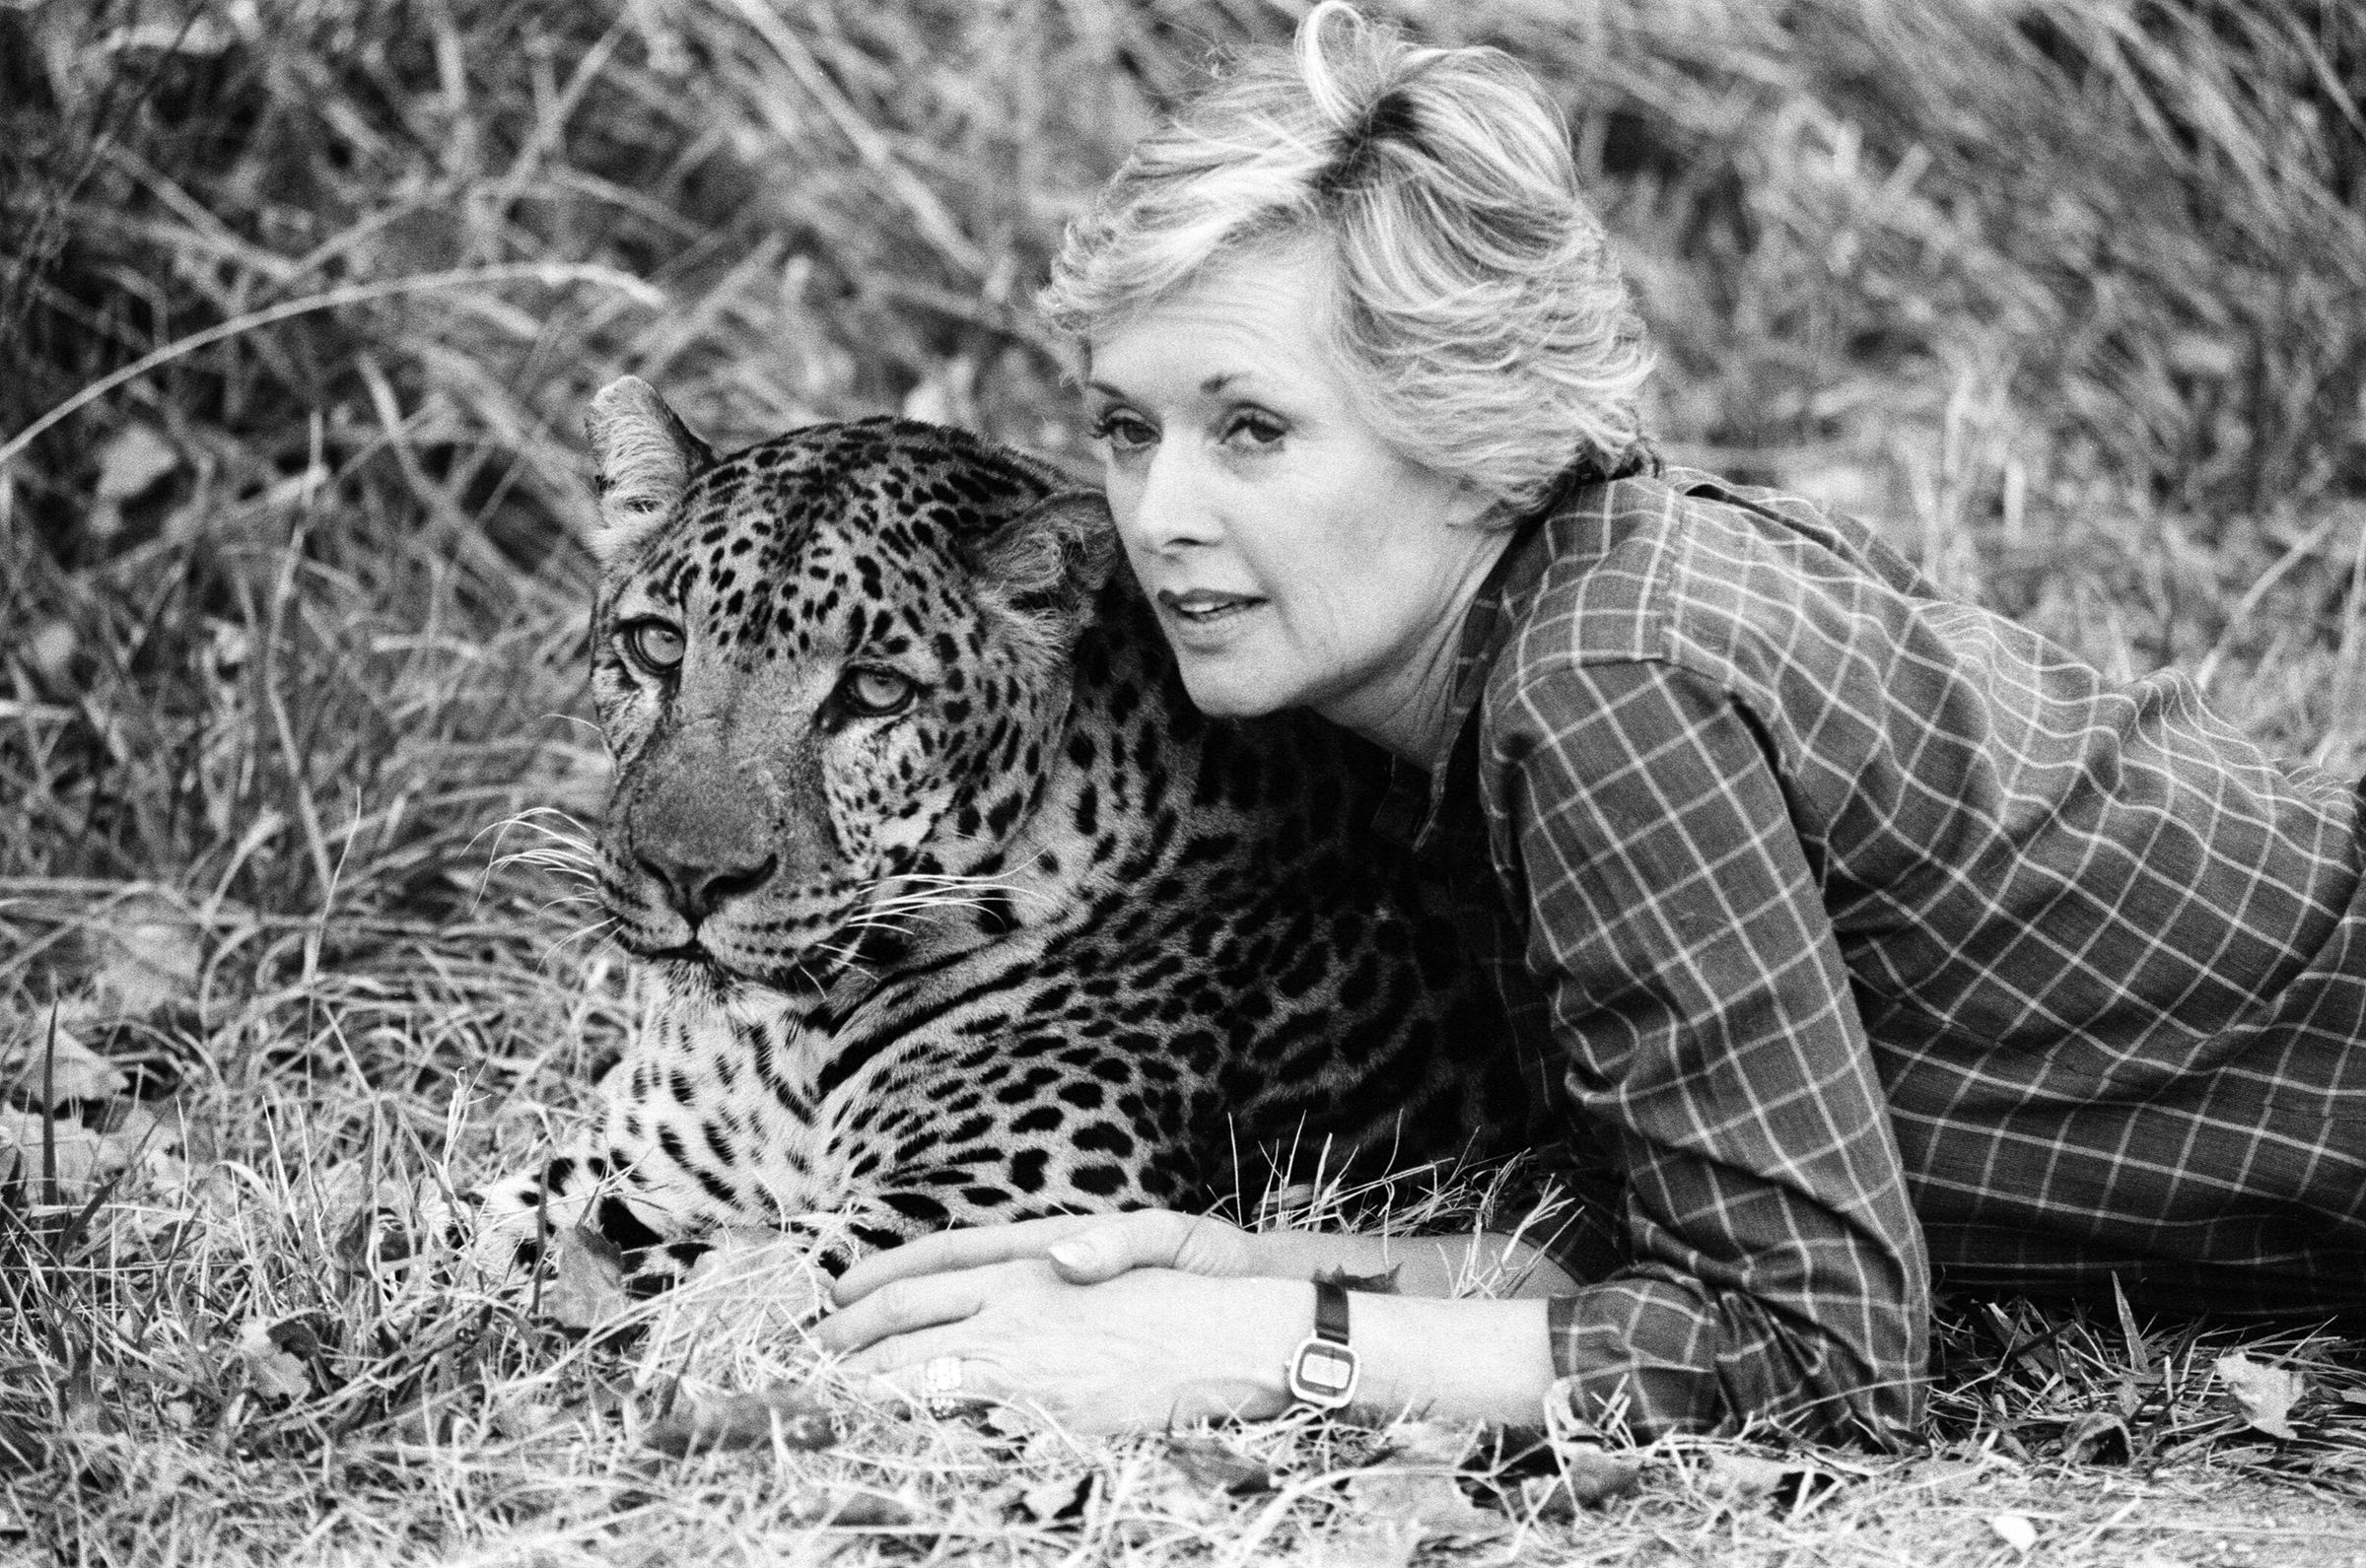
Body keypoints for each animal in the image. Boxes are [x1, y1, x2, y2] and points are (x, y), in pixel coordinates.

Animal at [477, 377, 1552, 1286]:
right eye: (658, 644)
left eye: (875, 691)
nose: (690, 876)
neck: (772, 1047)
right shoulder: (645, 1154)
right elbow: (483, 1217)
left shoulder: (994, 1201)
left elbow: (695, 1276)